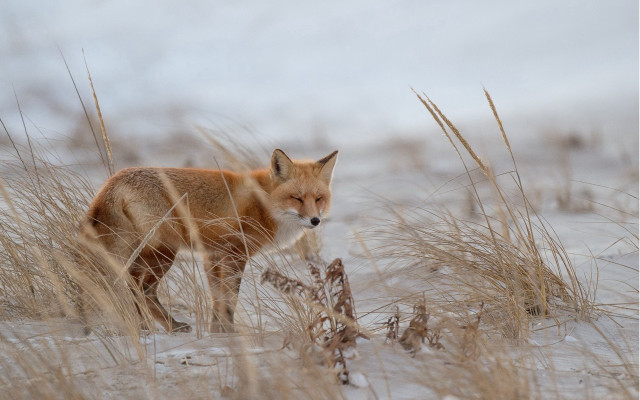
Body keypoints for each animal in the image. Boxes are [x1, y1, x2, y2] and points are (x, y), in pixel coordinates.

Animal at [81, 149, 338, 333]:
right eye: (297, 198)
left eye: (318, 199)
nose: (315, 220)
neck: (262, 202)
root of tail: (112, 182)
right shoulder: (236, 254)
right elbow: (229, 299)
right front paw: (230, 332)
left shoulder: (212, 255)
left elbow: (217, 299)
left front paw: (217, 332)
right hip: (165, 252)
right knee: (141, 289)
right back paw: (165, 326)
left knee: (131, 285)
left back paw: (146, 326)